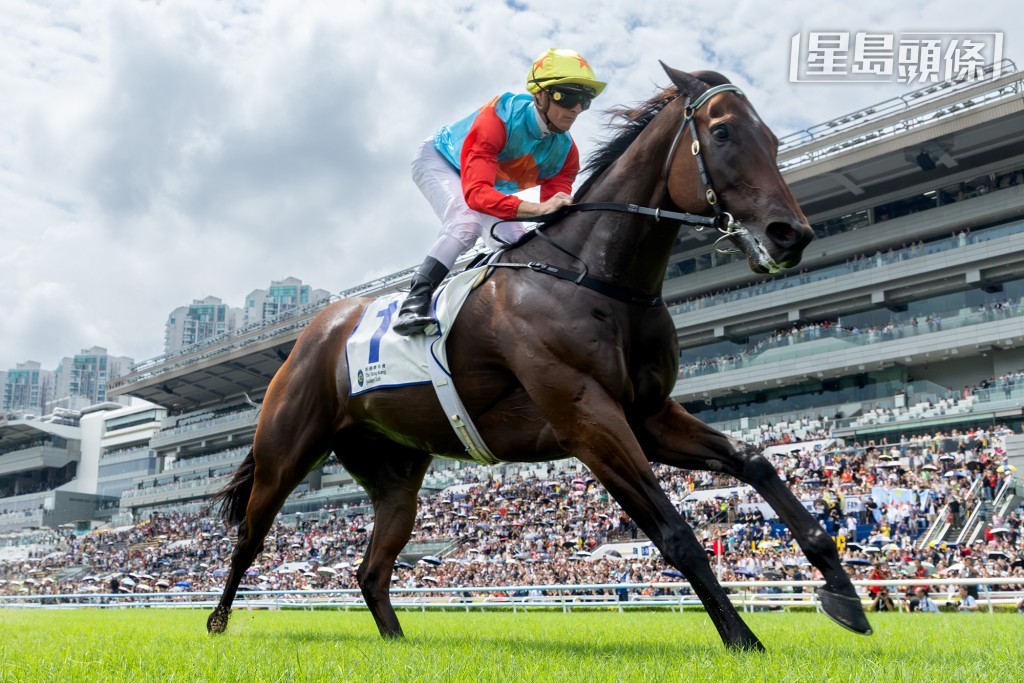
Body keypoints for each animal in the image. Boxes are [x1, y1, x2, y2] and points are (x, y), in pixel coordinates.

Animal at [207, 63, 872, 650]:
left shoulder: (648, 417)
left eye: (775, 138)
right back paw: (216, 624)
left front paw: (843, 594)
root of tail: (313, 333)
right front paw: (744, 639)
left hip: (395, 476)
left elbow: (756, 461)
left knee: (370, 569)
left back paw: (397, 643)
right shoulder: (588, 420)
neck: (595, 277)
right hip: (286, 453)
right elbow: (677, 534)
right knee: (249, 540)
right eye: (724, 132)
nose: (792, 234)